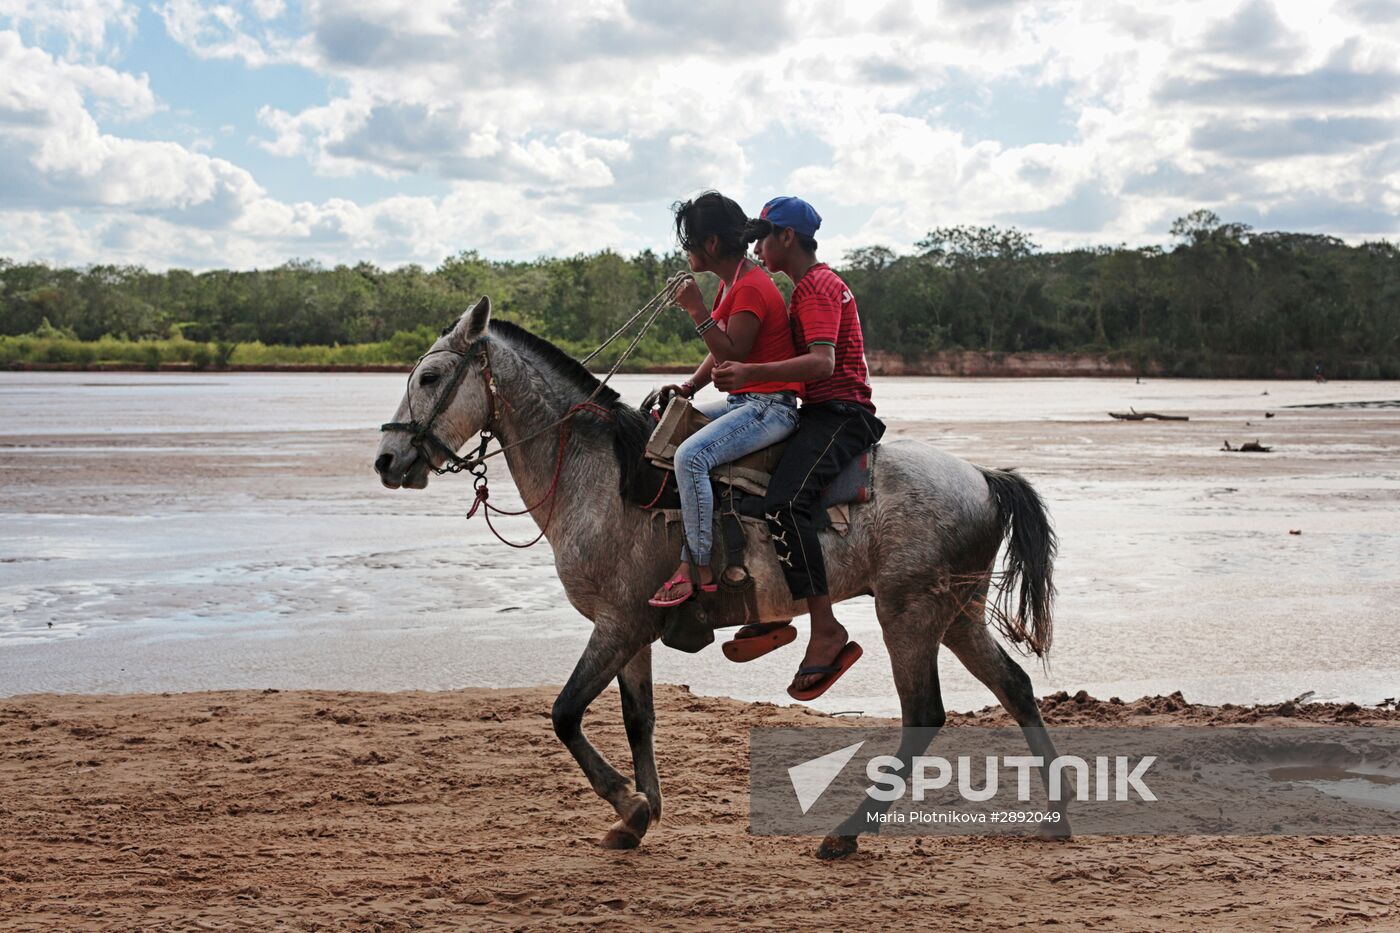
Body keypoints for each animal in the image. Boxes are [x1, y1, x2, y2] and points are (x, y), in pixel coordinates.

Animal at [375, 298, 1069, 857]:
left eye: (430, 377)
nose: (386, 459)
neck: (599, 473)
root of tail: (984, 478)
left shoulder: (617, 623)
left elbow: (565, 713)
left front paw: (628, 803)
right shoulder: (631, 629)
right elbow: (638, 717)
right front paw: (638, 817)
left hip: (910, 613)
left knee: (924, 713)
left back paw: (846, 834)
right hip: (958, 612)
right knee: (1015, 687)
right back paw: (1056, 817)